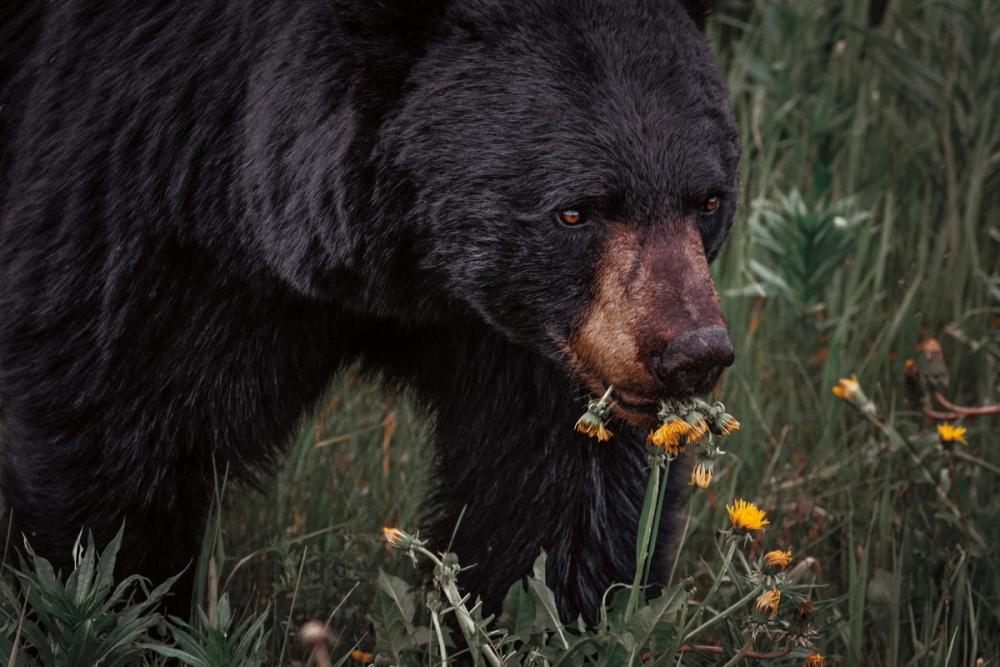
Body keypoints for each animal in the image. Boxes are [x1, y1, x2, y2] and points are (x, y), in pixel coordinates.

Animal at [0, 0, 739, 623]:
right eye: (577, 210)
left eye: (707, 200)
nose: (692, 352)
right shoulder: (148, 181)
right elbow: (119, 426)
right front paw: (111, 605)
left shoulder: (528, 326)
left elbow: (552, 478)